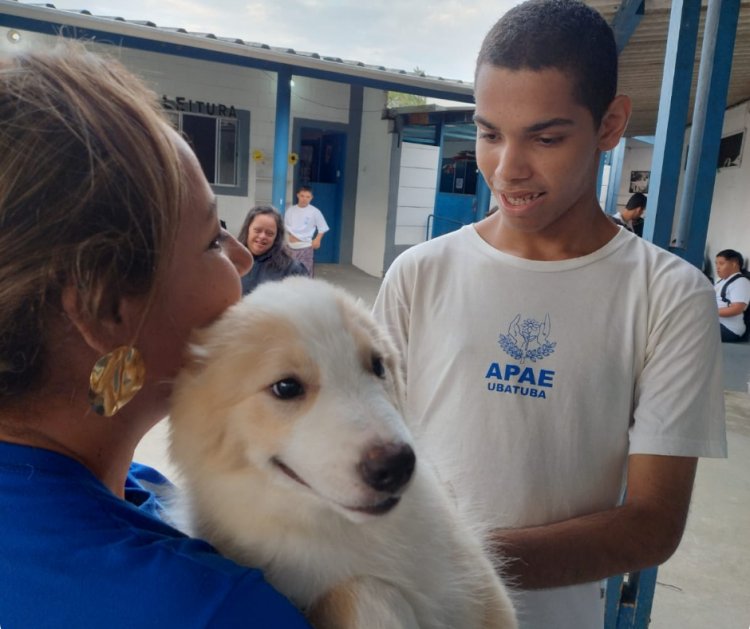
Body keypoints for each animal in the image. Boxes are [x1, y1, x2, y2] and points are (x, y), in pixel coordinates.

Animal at [169, 280, 516, 628]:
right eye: (286, 387)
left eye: (378, 365)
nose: (397, 466)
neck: (343, 529)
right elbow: (361, 591)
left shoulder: (485, 593)